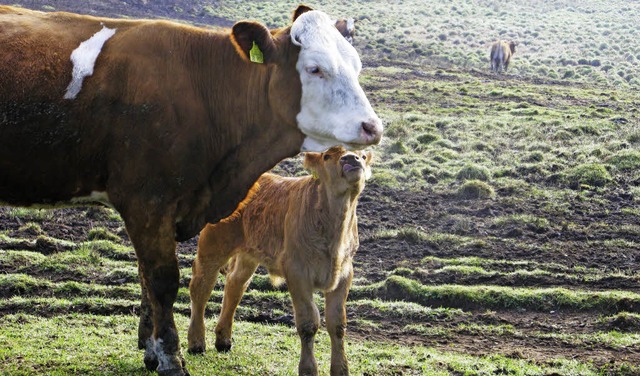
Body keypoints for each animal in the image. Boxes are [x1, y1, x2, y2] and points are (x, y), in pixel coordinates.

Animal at [188, 145, 372, 374]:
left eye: (362, 155)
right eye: (327, 156)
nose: (351, 159)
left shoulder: (345, 273)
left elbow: (337, 324)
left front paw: (341, 369)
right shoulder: (298, 272)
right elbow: (308, 323)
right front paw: (308, 369)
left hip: (248, 255)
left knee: (235, 285)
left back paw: (223, 340)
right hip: (213, 246)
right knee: (201, 287)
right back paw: (196, 343)